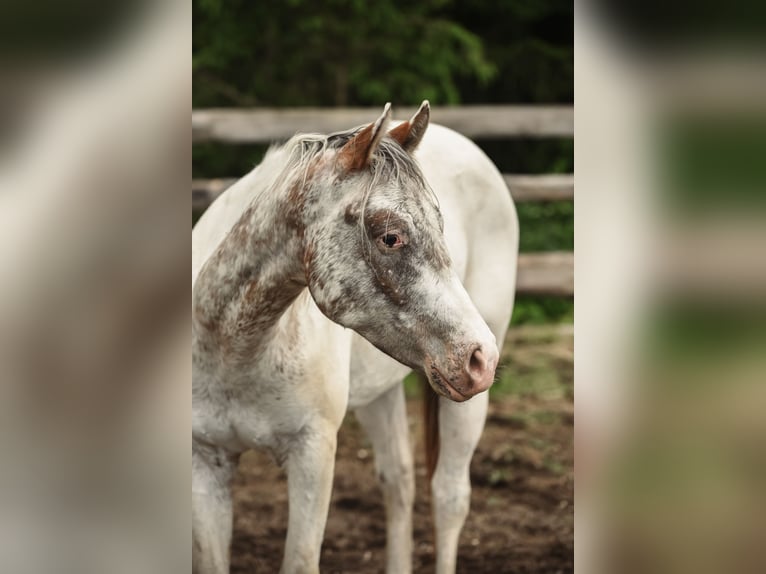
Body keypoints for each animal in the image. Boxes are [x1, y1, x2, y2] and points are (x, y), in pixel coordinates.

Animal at [192, 102, 517, 574]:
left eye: (441, 227)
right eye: (390, 237)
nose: (481, 358)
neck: (234, 350)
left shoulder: (313, 455)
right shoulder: (206, 460)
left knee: (449, 497)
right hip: (380, 390)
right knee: (399, 482)